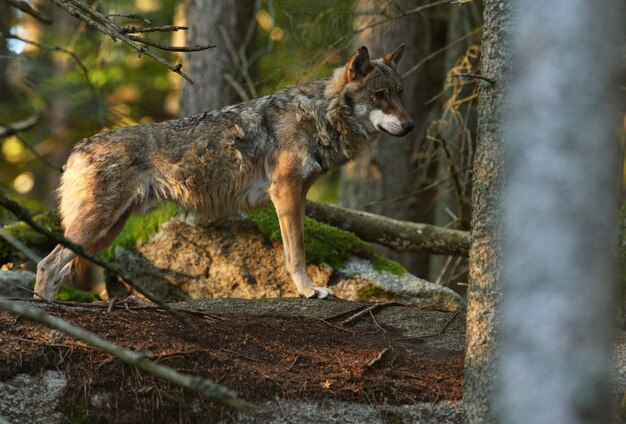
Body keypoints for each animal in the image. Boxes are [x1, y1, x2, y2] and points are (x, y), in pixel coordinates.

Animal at [35, 44, 414, 300]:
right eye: (379, 96)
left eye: (400, 94)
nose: (411, 126)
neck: (319, 114)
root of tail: (76, 149)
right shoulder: (285, 193)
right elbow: (297, 254)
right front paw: (309, 291)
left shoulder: (296, 196)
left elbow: (292, 252)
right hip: (96, 228)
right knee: (47, 265)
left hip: (105, 234)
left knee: (56, 268)